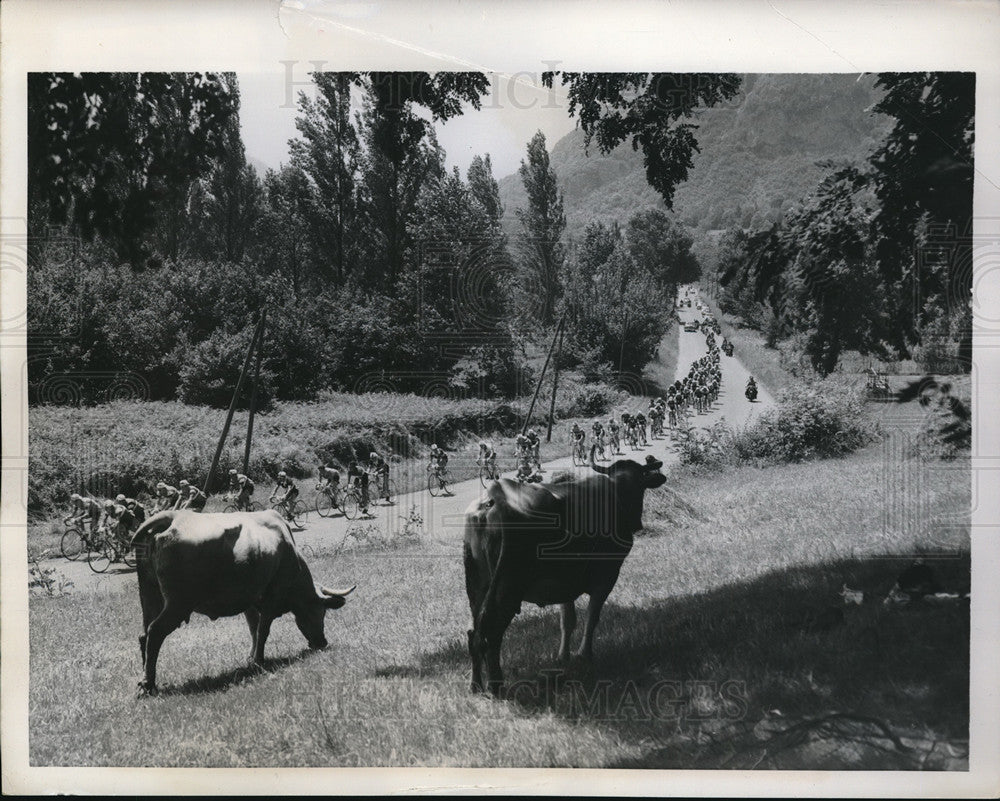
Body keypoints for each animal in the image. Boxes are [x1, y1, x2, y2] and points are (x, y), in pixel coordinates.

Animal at [131, 512, 354, 692]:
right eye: (321, 611)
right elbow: (263, 631)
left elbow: (253, 629)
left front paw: (251, 657)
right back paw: (148, 685)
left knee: (144, 635)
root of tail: (174, 516)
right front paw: (259, 660)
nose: (322, 642)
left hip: (150, 596)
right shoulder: (272, 598)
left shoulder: (250, 601)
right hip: (178, 604)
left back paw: (146, 678)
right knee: (155, 632)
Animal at [464, 450, 668, 692]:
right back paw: (496, 685)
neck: (614, 493)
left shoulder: (564, 583)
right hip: (507, 588)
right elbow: (592, 616)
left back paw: (476, 684)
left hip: (477, 586)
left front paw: (563, 656)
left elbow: (567, 620)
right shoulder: (607, 576)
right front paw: (584, 654)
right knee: (490, 632)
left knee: (474, 632)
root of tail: (493, 501)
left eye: (638, 481)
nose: (637, 524)